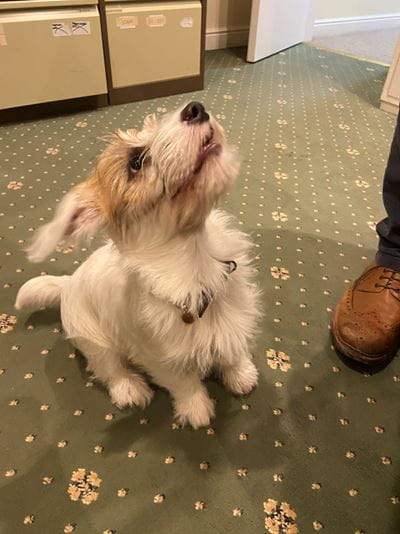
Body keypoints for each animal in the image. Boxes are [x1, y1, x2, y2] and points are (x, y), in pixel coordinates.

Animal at [15, 102, 261, 429]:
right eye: (135, 163)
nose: (195, 108)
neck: (196, 258)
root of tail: (68, 283)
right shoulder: (159, 358)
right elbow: (184, 383)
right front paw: (196, 409)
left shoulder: (233, 317)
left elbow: (232, 349)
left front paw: (241, 374)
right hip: (95, 341)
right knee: (108, 368)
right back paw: (130, 388)